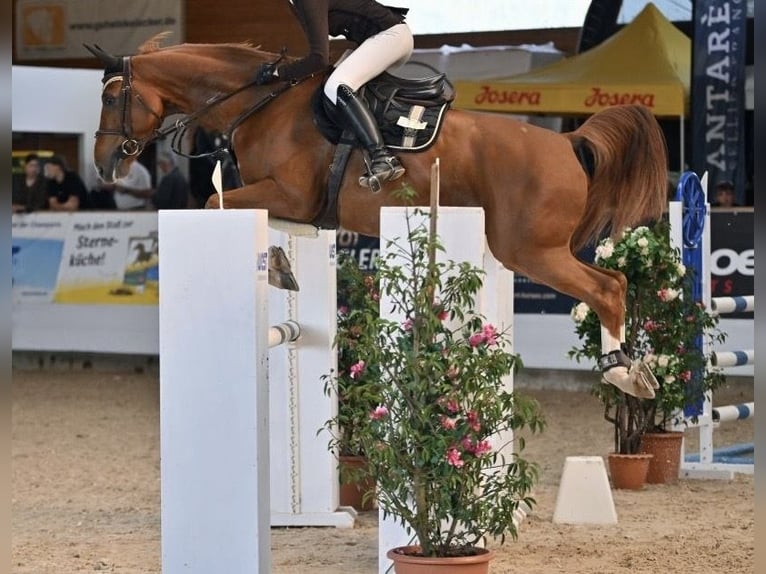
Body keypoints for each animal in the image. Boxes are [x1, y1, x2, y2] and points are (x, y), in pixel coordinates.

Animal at [87, 38, 668, 398]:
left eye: (112, 98)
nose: (103, 164)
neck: (260, 103)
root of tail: (568, 143)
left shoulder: (289, 192)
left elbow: (213, 203)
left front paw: (278, 266)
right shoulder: (290, 201)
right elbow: (259, 215)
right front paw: (285, 262)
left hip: (529, 250)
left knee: (607, 288)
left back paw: (622, 375)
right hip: (534, 248)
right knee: (614, 281)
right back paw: (630, 368)